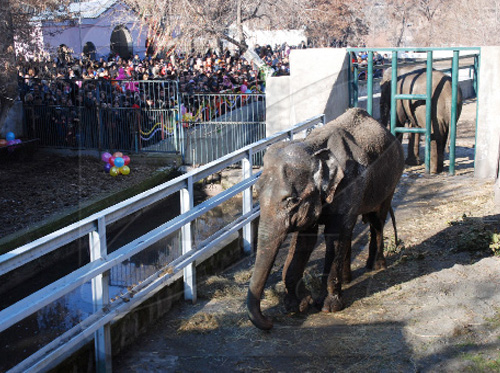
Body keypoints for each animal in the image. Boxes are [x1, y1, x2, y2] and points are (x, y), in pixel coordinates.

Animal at [247, 107, 406, 328]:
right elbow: (305, 240)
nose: (270, 321)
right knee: (351, 229)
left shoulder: (350, 184)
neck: (311, 147)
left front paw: (328, 307)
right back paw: (347, 279)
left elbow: (334, 236)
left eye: (292, 200)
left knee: (376, 221)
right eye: (257, 192)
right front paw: (296, 305)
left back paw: (376, 266)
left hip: (392, 178)